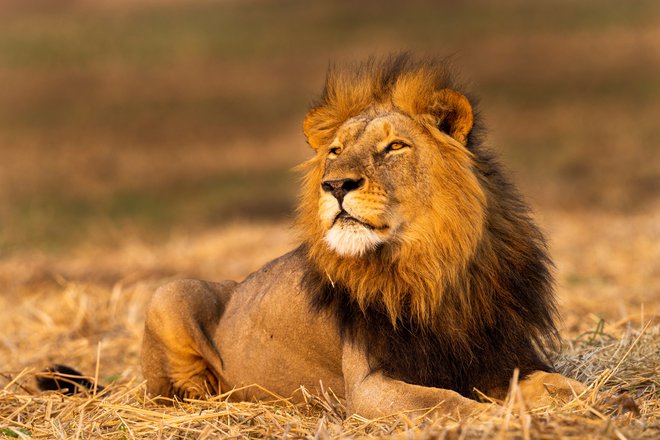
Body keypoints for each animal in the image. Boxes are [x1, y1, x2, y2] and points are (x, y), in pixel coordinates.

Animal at [142, 53, 584, 418]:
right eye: (335, 151)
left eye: (395, 146)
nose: (336, 185)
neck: (435, 264)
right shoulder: (369, 385)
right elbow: (444, 401)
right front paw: (494, 417)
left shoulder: (502, 358)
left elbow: (556, 383)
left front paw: (591, 400)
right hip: (172, 292)